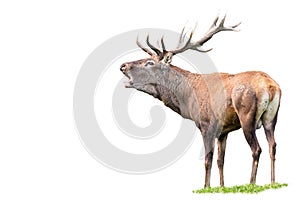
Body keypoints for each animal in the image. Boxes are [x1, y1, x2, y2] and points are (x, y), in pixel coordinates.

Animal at [119, 15, 282, 188]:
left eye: (150, 63)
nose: (123, 65)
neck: (187, 97)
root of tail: (271, 86)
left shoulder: (206, 124)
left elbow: (207, 159)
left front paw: (206, 186)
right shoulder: (223, 131)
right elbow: (220, 160)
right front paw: (221, 186)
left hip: (247, 117)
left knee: (256, 149)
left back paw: (251, 183)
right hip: (271, 118)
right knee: (273, 146)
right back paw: (273, 181)